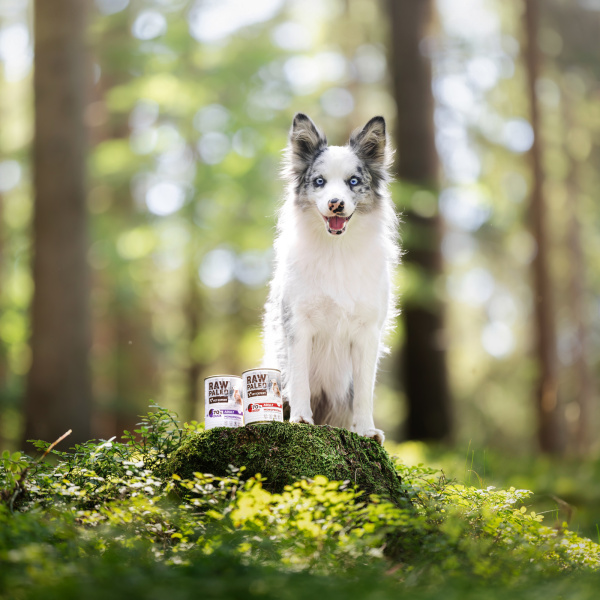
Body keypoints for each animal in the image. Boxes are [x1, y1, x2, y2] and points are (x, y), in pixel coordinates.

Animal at [262, 113, 398, 446]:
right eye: (319, 181)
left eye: (353, 181)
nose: (336, 203)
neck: (337, 251)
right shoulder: (298, 323)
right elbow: (299, 379)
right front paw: (300, 418)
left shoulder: (367, 332)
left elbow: (364, 391)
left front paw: (365, 430)